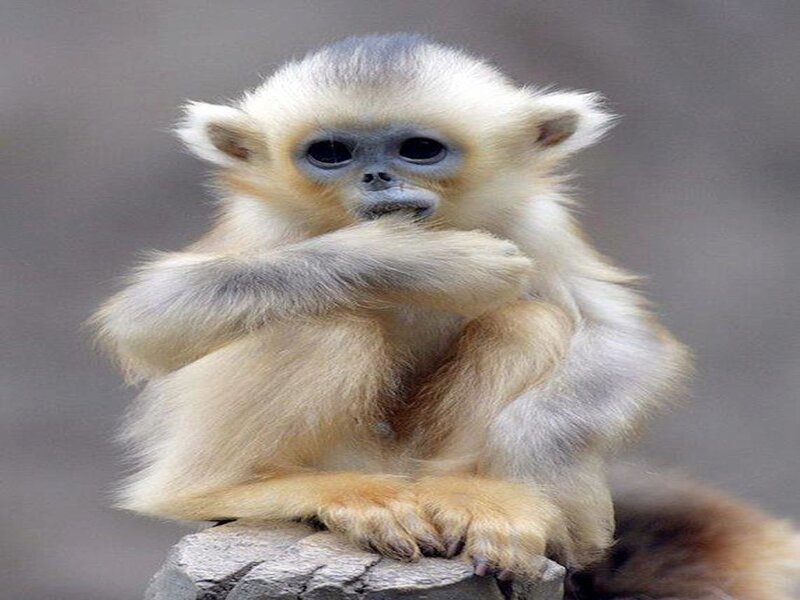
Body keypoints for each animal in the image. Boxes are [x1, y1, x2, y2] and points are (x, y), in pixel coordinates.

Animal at [94, 34, 799, 597]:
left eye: (419, 148)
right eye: (331, 153)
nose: (378, 177)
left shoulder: (533, 220)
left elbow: (625, 338)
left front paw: (533, 476)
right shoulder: (268, 224)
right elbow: (152, 317)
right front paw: (424, 261)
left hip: (416, 462)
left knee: (526, 320)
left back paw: (473, 497)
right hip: (342, 451)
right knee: (323, 322)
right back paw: (253, 490)